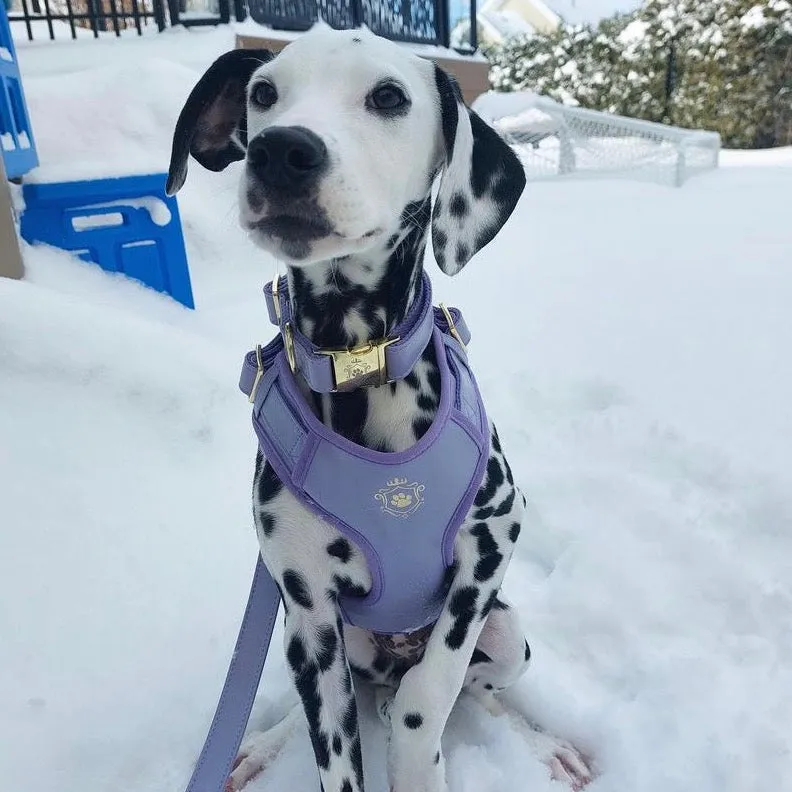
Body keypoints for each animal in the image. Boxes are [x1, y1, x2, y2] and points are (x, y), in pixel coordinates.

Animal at [167, 24, 592, 792]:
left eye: (389, 97)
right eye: (263, 94)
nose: (283, 151)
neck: (358, 363)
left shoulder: (492, 540)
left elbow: (433, 691)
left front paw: (418, 755)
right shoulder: (308, 608)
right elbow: (336, 753)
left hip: (508, 632)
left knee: (470, 689)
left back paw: (541, 747)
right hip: (318, 640)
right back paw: (260, 744)